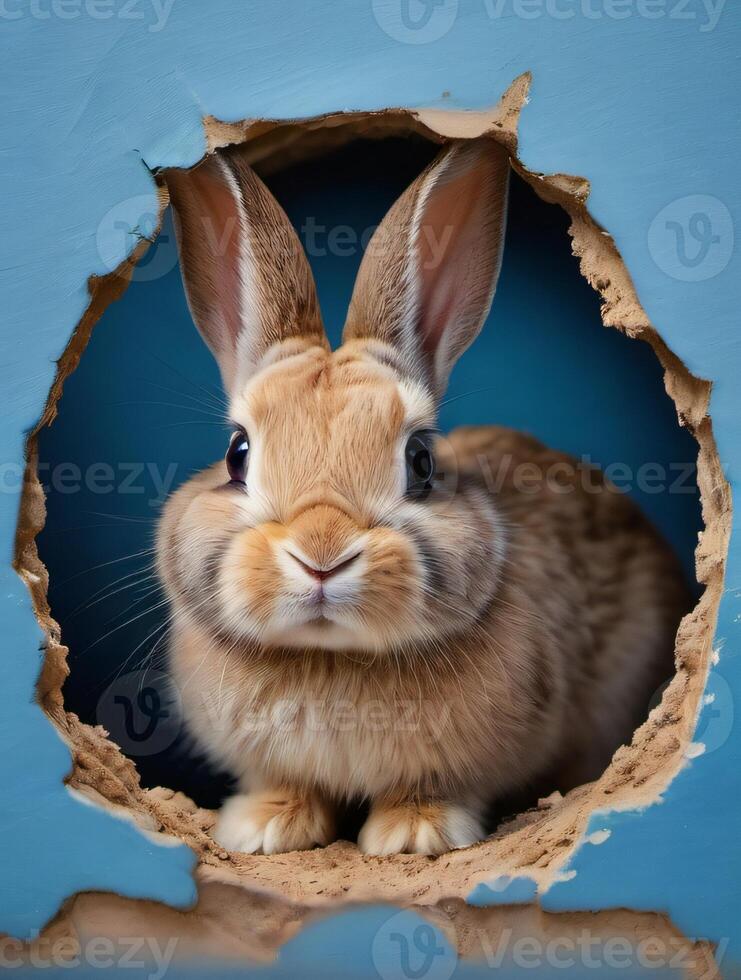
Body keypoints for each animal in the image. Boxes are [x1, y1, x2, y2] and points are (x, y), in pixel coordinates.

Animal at [160, 138, 688, 856]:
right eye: (236, 454)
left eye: (421, 462)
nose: (321, 557)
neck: (331, 657)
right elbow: (286, 784)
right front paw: (266, 828)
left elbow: (435, 787)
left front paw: (413, 835)